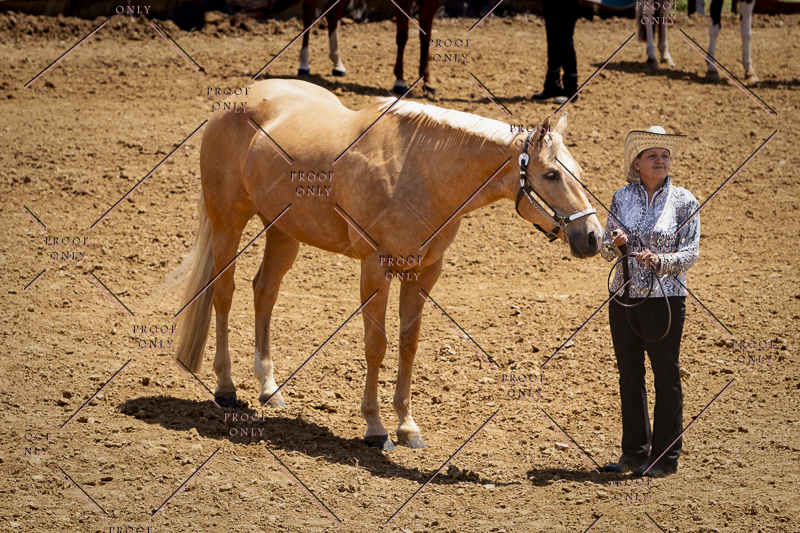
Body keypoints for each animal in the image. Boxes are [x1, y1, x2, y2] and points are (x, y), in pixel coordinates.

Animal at [173, 78, 602, 450]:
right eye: (551, 174)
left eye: (579, 172)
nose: (594, 237)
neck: (418, 173)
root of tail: (238, 98)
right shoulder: (375, 268)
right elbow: (376, 345)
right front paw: (376, 427)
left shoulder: (424, 272)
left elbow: (408, 344)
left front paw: (408, 426)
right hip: (228, 223)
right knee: (223, 293)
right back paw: (226, 387)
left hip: (283, 233)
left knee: (264, 292)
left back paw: (269, 387)